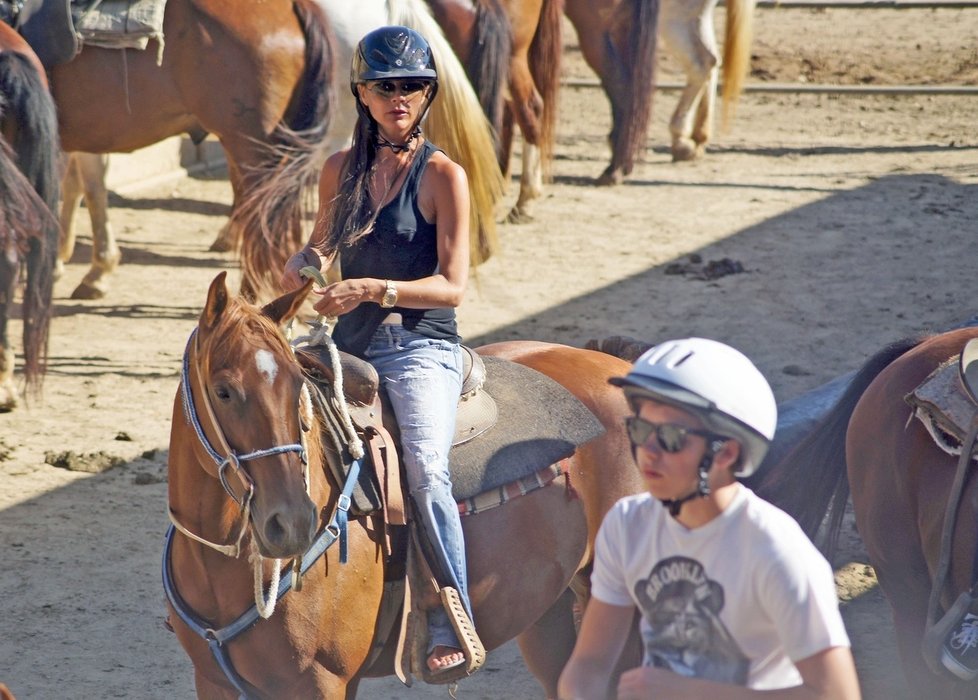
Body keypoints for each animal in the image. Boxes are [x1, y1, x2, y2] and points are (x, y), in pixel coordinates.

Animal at [46, 0, 336, 300]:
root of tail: (293, 7)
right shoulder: (87, 135)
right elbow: (89, 188)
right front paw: (95, 271)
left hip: (253, 151)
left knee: (259, 226)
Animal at [165, 270, 644, 696]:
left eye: (297, 384)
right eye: (224, 391)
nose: (295, 522)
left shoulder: (322, 683)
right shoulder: (212, 681)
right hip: (551, 609)